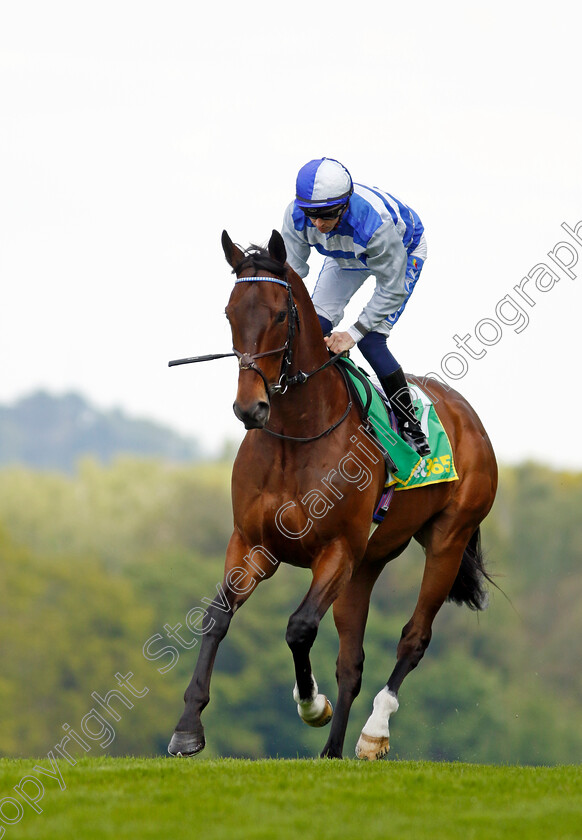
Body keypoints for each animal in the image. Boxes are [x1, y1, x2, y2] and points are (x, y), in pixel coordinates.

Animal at [167, 230, 500, 760]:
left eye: (279, 315)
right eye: (229, 312)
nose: (249, 407)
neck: (297, 435)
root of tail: (466, 414)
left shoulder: (337, 550)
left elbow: (299, 626)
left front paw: (311, 704)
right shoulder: (252, 543)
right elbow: (217, 616)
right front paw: (187, 728)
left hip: (447, 539)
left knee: (414, 637)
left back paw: (373, 733)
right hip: (368, 564)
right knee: (352, 661)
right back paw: (332, 751)